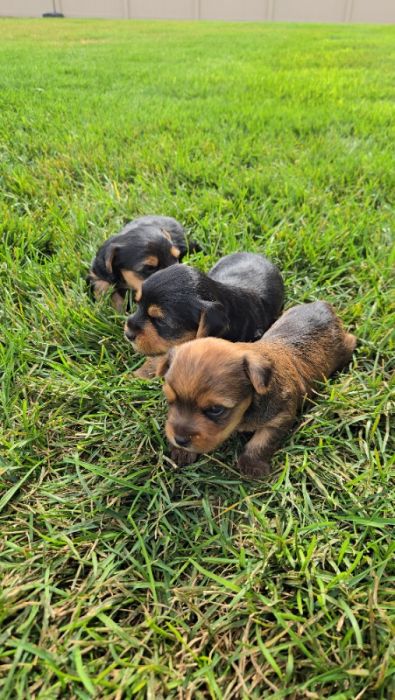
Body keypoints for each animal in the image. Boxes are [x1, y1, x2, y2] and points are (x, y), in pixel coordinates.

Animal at [158, 300, 358, 476]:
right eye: (169, 399)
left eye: (216, 409)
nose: (180, 440)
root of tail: (324, 305)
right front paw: (182, 451)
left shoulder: (280, 418)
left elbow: (262, 442)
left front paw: (251, 465)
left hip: (344, 348)